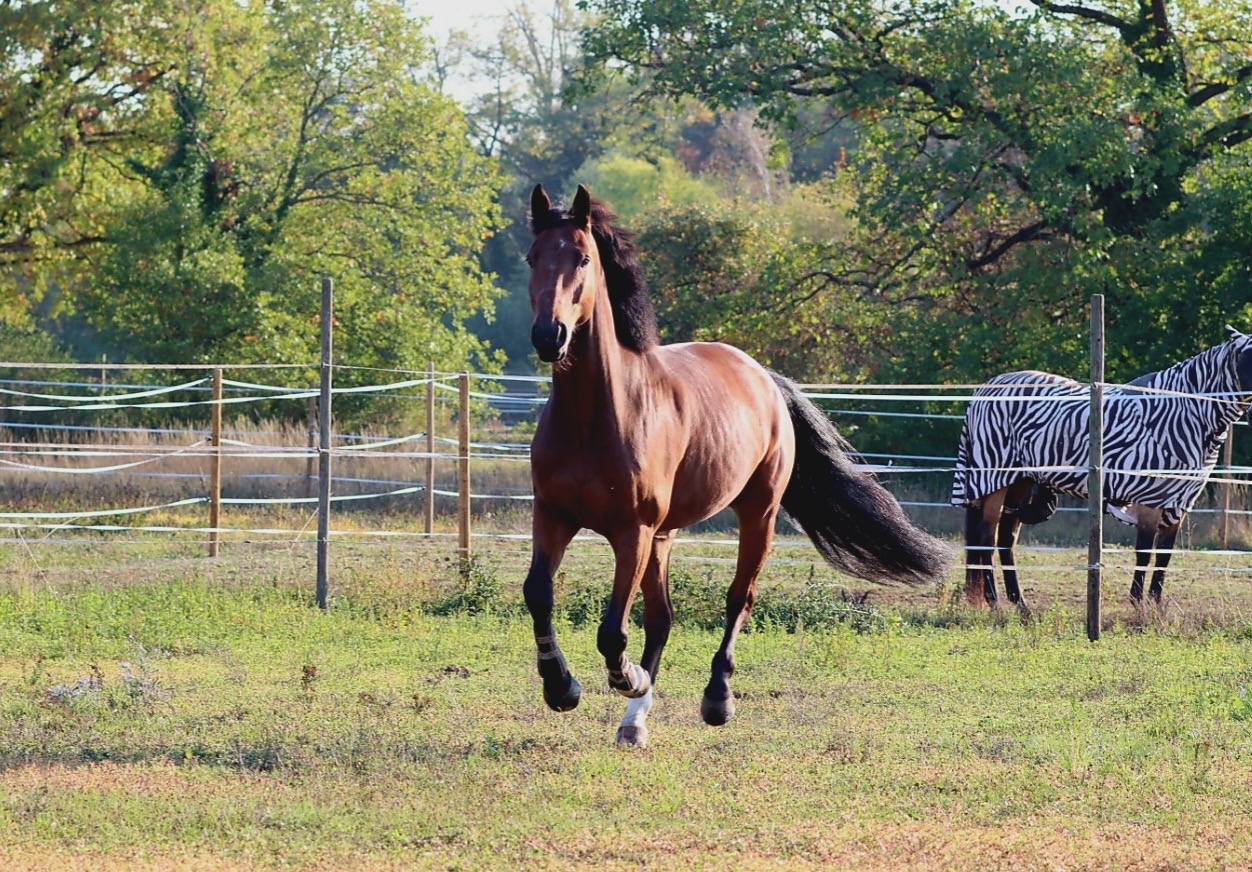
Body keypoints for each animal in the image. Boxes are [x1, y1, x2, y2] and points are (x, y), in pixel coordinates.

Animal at [522, 184, 949, 748]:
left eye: (583, 258)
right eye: (532, 257)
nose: (549, 336)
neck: (595, 416)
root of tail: (763, 377)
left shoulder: (631, 531)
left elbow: (613, 630)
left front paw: (625, 678)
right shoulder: (554, 517)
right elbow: (538, 595)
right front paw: (561, 688)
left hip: (755, 515)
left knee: (737, 599)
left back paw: (714, 699)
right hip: (666, 535)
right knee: (662, 618)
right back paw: (635, 722)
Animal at [952, 329, 1252, 611]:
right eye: (1247, 356)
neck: (1183, 412)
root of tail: (985, 389)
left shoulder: (1177, 503)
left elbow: (1164, 557)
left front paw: (1155, 605)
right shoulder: (1150, 501)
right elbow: (1144, 552)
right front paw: (1137, 603)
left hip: (1020, 483)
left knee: (1005, 540)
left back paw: (1020, 604)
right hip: (995, 481)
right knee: (985, 538)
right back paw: (994, 602)